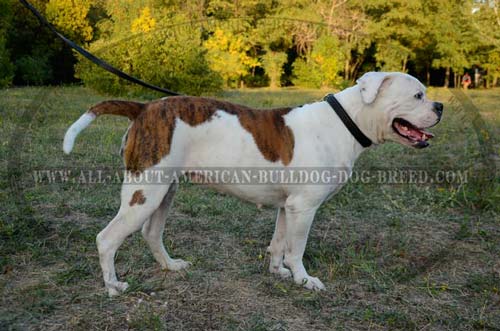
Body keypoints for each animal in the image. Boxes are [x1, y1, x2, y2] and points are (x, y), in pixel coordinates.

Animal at [61, 71, 442, 296]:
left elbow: (279, 243)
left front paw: (279, 272)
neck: (346, 120)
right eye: (417, 96)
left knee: (151, 233)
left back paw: (170, 267)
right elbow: (297, 248)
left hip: (163, 191)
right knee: (107, 238)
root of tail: (143, 108)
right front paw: (304, 279)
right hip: (145, 193)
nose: (440, 105)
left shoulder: (289, 207)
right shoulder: (305, 208)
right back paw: (113, 286)